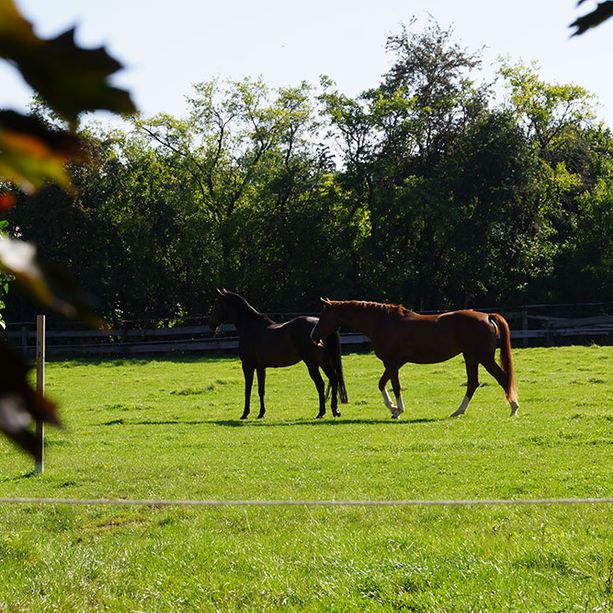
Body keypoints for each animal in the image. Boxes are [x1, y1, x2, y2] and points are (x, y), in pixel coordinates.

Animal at [209, 290, 346, 418]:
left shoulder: (248, 365)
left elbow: (247, 389)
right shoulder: (260, 367)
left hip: (312, 364)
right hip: (324, 361)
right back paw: (335, 410)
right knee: (334, 379)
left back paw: (321, 412)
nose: (211, 326)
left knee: (320, 384)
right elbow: (261, 390)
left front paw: (245, 413)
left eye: (216, 305)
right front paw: (261, 413)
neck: (250, 327)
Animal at [310, 298, 516, 418]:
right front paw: (393, 409)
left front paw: (397, 409)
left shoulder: (391, 363)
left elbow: (393, 386)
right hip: (471, 357)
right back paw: (458, 411)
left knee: (501, 377)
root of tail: (487, 316)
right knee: (473, 383)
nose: (313, 336)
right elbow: (383, 384)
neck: (383, 322)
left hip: (483, 357)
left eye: (324, 315)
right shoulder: (394, 364)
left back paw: (514, 409)